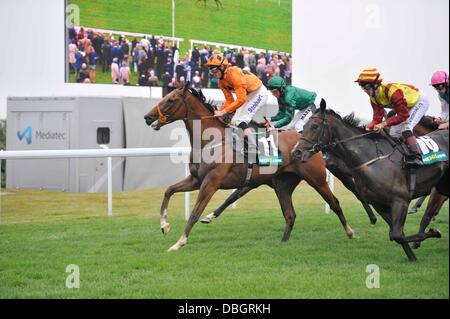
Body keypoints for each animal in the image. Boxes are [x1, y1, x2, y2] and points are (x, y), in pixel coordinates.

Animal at [144, 83, 356, 252]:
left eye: (170, 100)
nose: (147, 117)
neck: (210, 141)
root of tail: (308, 144)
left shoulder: (211, 182)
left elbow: (195, 212)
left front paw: (179, 242)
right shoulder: (196, 179)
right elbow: (169, 190)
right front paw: (164, 225)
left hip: (316, 178)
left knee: (335, 202)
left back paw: (351, 232)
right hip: (283, 184)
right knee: (290, 215)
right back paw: (283, 243)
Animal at [290, 100, 448, 262]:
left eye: (314, 126)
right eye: (304, 127)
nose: (296, 152)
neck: (370, 159)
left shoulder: (401, 200)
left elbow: (397, 234)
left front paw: (435, 232)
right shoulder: (379, 204)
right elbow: (396, 235)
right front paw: (412, 257)